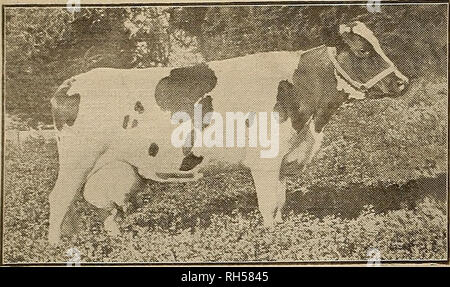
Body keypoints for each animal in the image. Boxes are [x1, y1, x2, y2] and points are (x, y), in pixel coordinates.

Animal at [48, 21, 408, 244]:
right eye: (363, 51)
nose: (402, 82)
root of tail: (67, 85)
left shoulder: (283, 160)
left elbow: (280, 203)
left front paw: (281, 232)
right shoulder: (265, 160)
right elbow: (268, 205)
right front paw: (272, 240)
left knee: (99, 209)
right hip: (77, 159)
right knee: (60, 198)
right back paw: (56, 246)